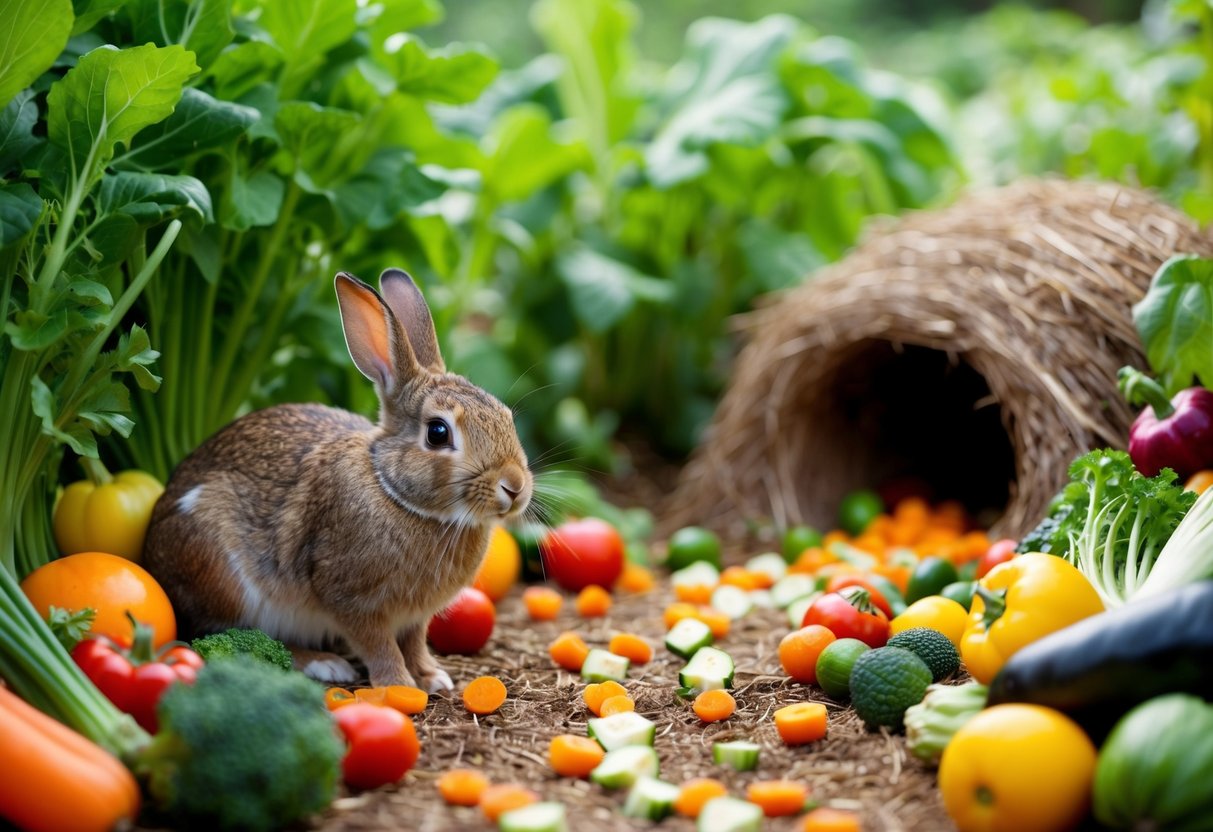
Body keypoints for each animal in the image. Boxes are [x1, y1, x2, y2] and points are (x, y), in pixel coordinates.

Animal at [142, 268, 533, 692]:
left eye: (505, 415)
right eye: (438, 433)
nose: (514, 487)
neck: (396, 493)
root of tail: (151, 549)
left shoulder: (415, 617)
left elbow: (414, 643)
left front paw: (432, 678)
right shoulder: (350, 599)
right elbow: (379, 645)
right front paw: (398, 685)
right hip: (223, 576)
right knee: (233, 636)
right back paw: (324, 664)